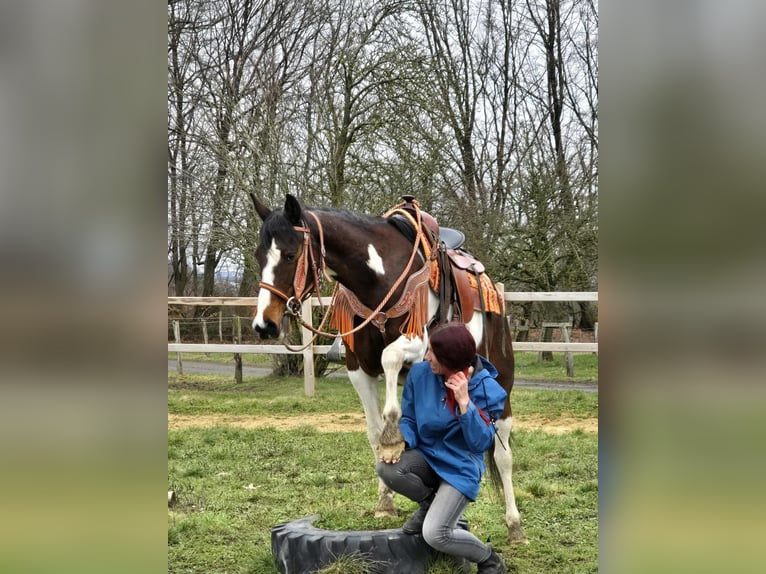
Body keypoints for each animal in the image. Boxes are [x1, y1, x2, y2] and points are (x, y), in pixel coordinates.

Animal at [249, 193, 527, 544]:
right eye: (258, 255)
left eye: (289, 254)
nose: (264, 325)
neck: (378, 279)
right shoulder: (358, 367)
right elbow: (373, 432)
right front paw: (385, 502)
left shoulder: (417, 343)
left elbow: (390, 361)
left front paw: (394, 437)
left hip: (503, 386)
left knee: (503, 454)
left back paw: (515, 526)